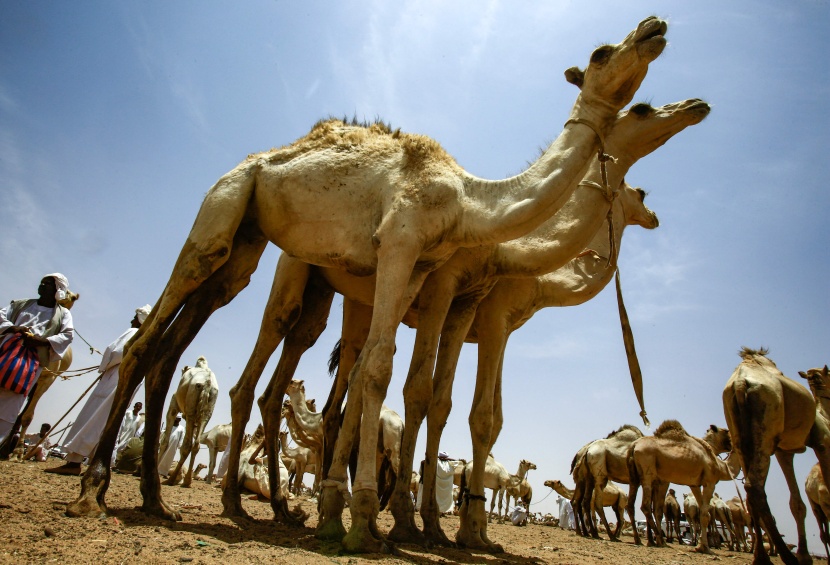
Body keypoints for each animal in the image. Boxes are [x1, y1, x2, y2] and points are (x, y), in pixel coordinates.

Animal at [66, 17, 668, 552]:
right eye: (601, 54)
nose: (654, 27)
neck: (469, 204)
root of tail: (251, 162)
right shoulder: (412, 254)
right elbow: (392, 376)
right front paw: (369, 526)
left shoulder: (424, 278)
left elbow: (391, 382)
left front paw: (367, 519)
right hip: (228, 205)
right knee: (169, 330)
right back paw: (100, 490)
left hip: (251, 247)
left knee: (191, 343)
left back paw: (173, 499)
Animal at [628, 420, 736, 552]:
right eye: (726, 431)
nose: (732, 444)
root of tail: (633, 446)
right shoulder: (667, 481)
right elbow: (658, 510)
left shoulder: (685, 483)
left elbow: (658, 509)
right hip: (647, 473)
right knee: (645, 506)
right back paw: (661, 539)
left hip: (635, 477)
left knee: (631, 505)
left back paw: (642, 540)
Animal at [720, 348, 830, 564]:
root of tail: (740, 383)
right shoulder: (822, 442)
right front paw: (803, 556)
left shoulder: (784, 451)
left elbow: (796, 504)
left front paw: (805, 555)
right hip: (765, 426)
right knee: (754, 487)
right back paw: (786, 557)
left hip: (741, 436)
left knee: (751, 492)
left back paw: (762, 557)